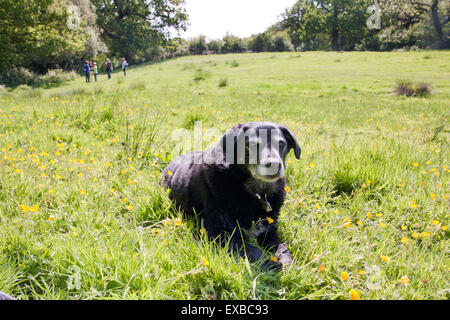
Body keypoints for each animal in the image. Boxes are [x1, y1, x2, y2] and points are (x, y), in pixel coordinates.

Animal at [163, 122, 302, 270]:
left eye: (281, 144)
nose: (274, 164)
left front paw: (287, 263)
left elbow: (282, 248)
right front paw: (271, 264)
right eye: (252, 144)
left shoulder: (269, 232)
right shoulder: (219, 233)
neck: (253, 192)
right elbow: (253, 250)